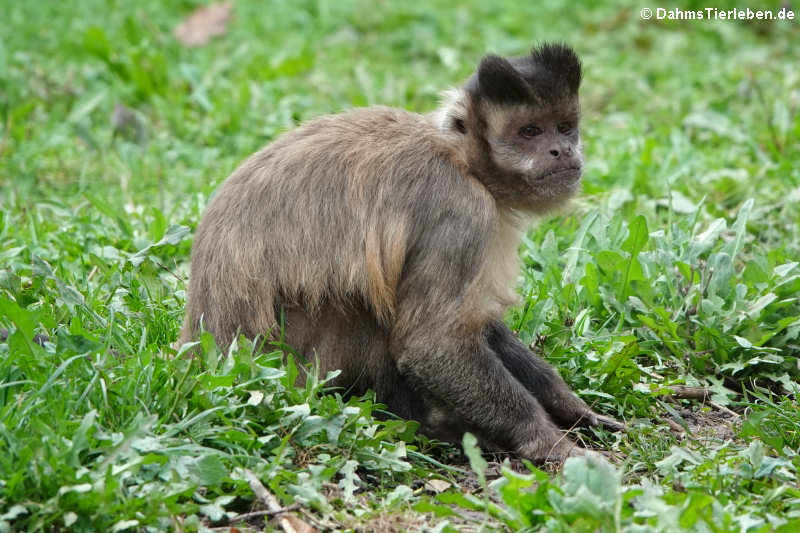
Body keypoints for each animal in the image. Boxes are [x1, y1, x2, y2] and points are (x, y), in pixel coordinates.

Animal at [183, 42, 624, 462]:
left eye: (564, 128)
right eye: (530, 131)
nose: (561, 150)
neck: (460, 160)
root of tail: (200, 358)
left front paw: (570, 407)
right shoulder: (462, 212)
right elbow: (431, 343)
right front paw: (546, 442)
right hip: (298, 370)